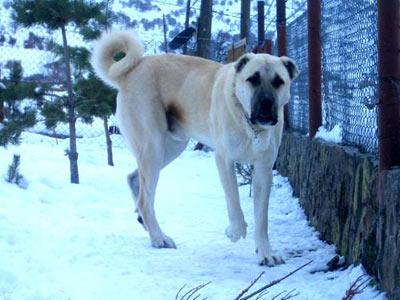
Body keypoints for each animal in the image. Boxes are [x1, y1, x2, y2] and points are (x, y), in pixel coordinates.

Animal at [92, 30, 298, 264]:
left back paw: (144, 221)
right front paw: (235, 231)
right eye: (252, 79)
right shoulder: (224, 160)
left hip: (171, 147)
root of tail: (129, 72)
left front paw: (266, 253)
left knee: (134, 179)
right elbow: (234, 201)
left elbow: (262, 218)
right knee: (146, 198)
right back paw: (159, 238)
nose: (265, 104)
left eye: (279, 81)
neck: (249, 124)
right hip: (153, 147)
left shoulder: (264, 169)